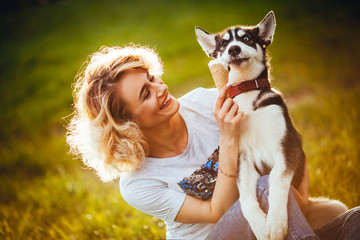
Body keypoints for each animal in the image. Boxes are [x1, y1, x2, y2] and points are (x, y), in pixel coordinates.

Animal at [195, 11, 348, 240]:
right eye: (224, 43)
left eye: (246, 39)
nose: (233, 49)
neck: (247, 94)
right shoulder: (243, 161)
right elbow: (246, 199)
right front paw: (260, 225)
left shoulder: (286, 148)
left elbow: (276, 180)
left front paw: (275, 223)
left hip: (335, 205)